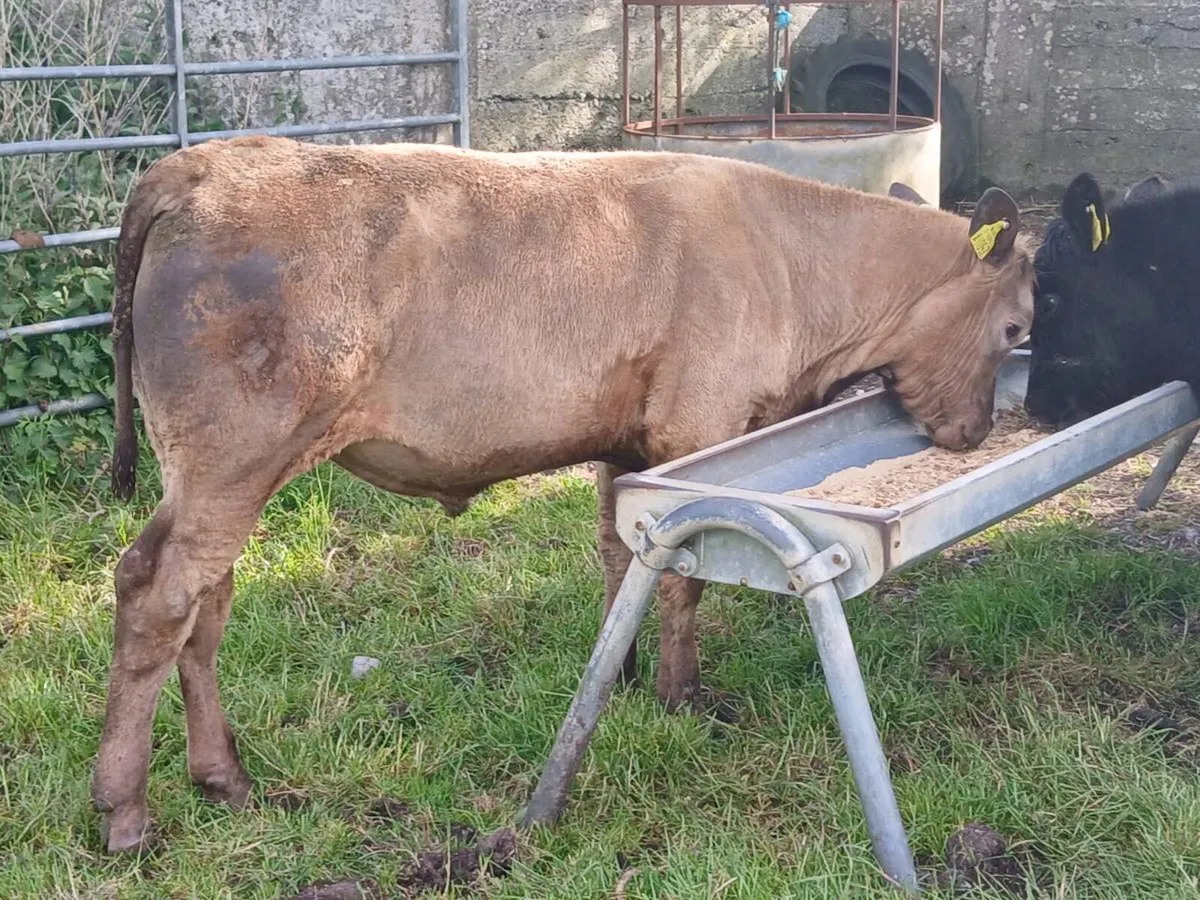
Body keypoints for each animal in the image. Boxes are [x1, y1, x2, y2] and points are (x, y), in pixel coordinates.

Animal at [93, 135, 1034, 854]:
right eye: (1018, 325)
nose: (975, 432)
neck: (793, 261)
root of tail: (203, 163)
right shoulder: (697, 431)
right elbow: (684, 577)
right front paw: (684, 697)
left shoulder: (628, 446)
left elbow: (624, 557)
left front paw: (621, 675)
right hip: (232, 458)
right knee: (156, 592)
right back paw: (128, 813)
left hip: (223, 473)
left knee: (207, 603)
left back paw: (224, 778)